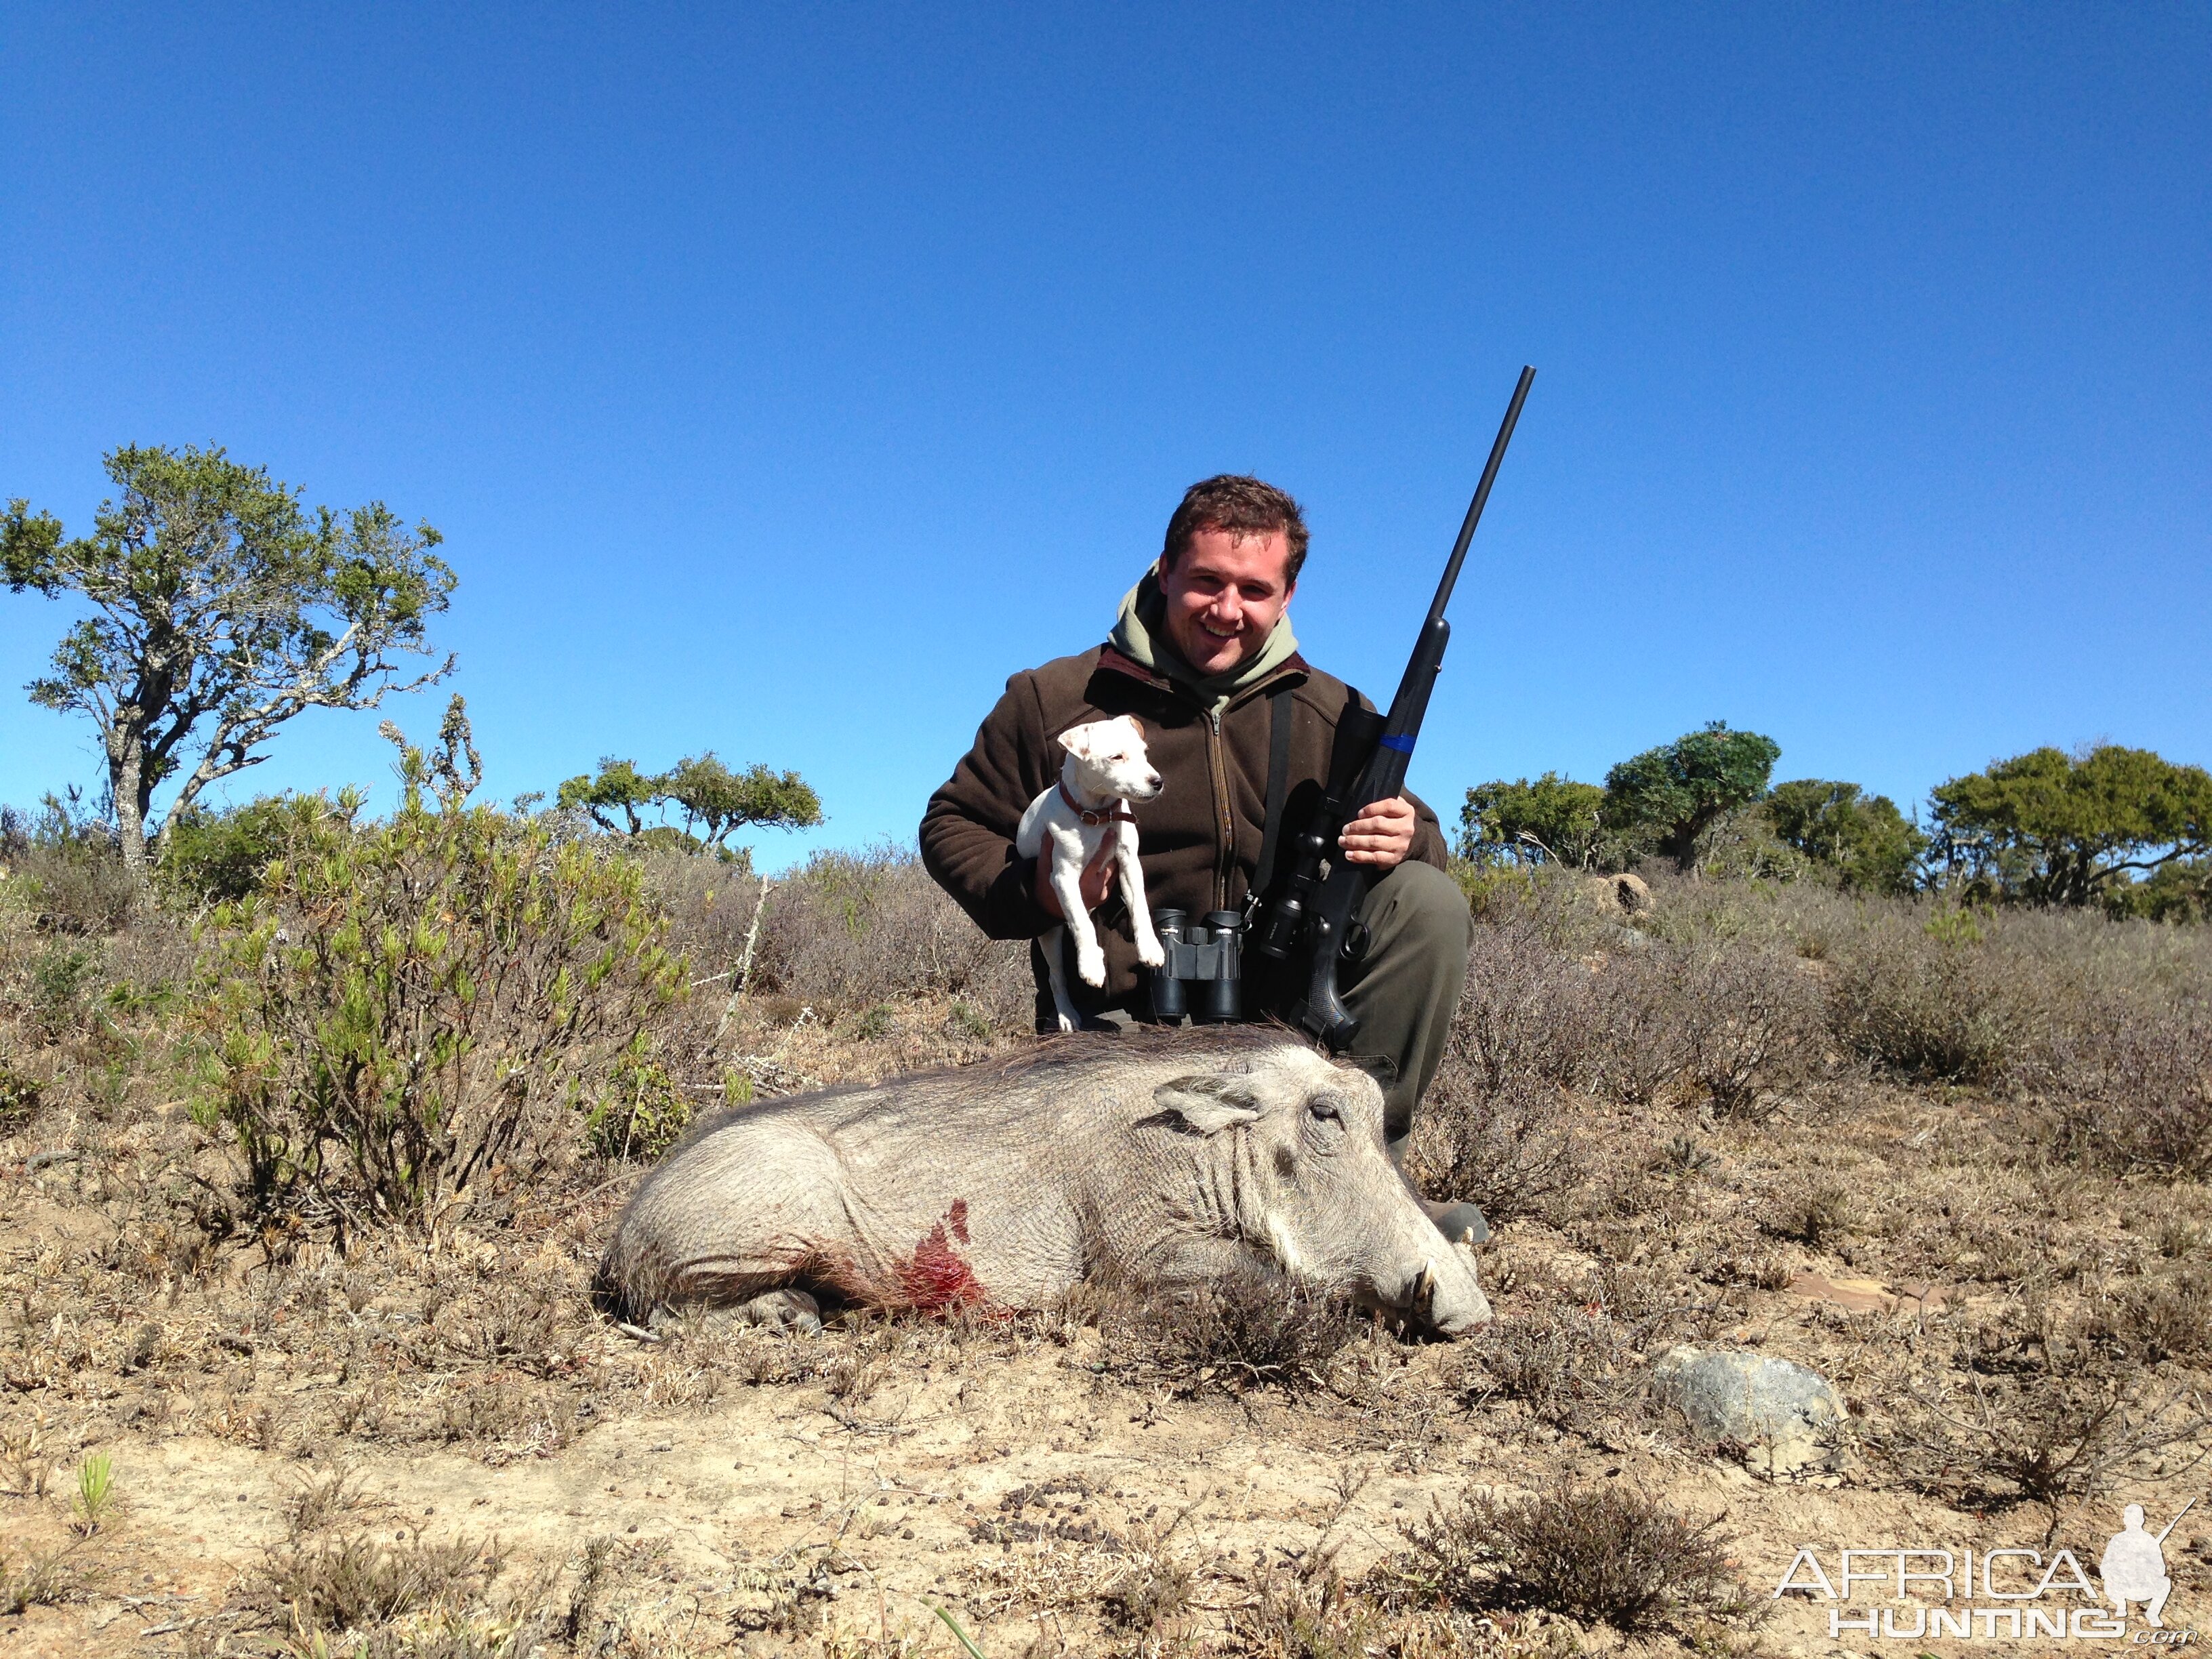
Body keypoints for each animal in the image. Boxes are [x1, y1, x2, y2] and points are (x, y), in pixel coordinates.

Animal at [1012, 712, 1168, 1035]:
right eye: (1116, 757)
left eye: (1145, 753)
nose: (1157, 782)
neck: (1098, 814)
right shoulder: (1063, 877)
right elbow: (1081, 923)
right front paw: (1092, 967)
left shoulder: (1129, 863)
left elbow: (1140, 908)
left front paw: (1150, 947)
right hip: (1049, 934)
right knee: (1057, 975)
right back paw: (1067, 1013)